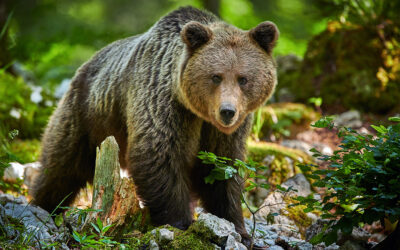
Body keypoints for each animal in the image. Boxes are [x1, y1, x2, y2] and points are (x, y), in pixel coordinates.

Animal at [32, 5, 278, 246]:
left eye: (243, 78)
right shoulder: (164, 103)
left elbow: (222, 169)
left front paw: (240, 231)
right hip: (87, 117)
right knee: (61, 167)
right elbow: (159, 155)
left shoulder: (225, 132)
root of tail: (87, 64)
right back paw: (43, 206)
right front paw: (179, 223)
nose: (227, 111)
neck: (197, 112)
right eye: (216, 76)